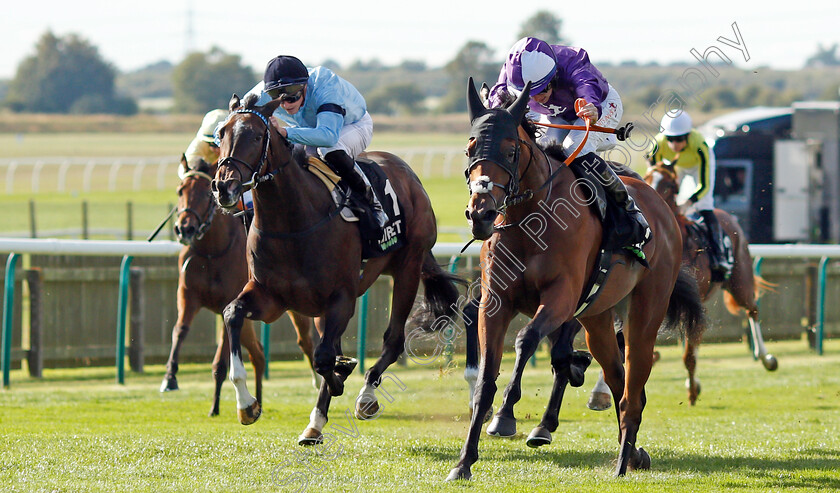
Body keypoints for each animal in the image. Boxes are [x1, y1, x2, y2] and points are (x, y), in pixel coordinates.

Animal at [162, 154, 320, 416]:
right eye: (179, 190)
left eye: (206, 193)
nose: (185, 229)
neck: (212, 251)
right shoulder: (187, 295)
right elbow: (180, 330)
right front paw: (170, 378)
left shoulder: (228, 302)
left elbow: (220, 360)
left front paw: (215, 406)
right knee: (258, 354)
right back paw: (257, 402)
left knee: (304, 341)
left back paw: (316, 382)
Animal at [208, 93, 460, 442]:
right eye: (221, 134)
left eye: (257, 136)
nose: (224, 187)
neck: (294, 222)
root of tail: (410, 175)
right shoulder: (271, 298)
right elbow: (233, 313)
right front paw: (247, 405)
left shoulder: (342, 297)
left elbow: (324, 357)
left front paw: (343, 375)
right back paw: (315, 422)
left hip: (408, 266)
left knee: (392, 339)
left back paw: (364, 397)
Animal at [450, 79, 704, 478]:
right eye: (470, 148)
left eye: (510, 150)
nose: (481, 213)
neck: (530, 221)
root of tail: (663, 211)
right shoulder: (496, 303)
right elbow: (485, 379)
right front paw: (464, 462)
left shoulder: (561, 297)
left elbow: (527, 339)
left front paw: (505, 416)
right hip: (596, 318)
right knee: (619, 381)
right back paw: (631, 452)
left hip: (645, 312)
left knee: (633, 385)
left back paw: (622, 464)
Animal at [644, 161, 780, 404]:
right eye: (647, 177)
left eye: (669, 185)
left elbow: (688, 355)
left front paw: (692, 392)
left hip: (740, 283)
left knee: (753, 310)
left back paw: (767, 358)